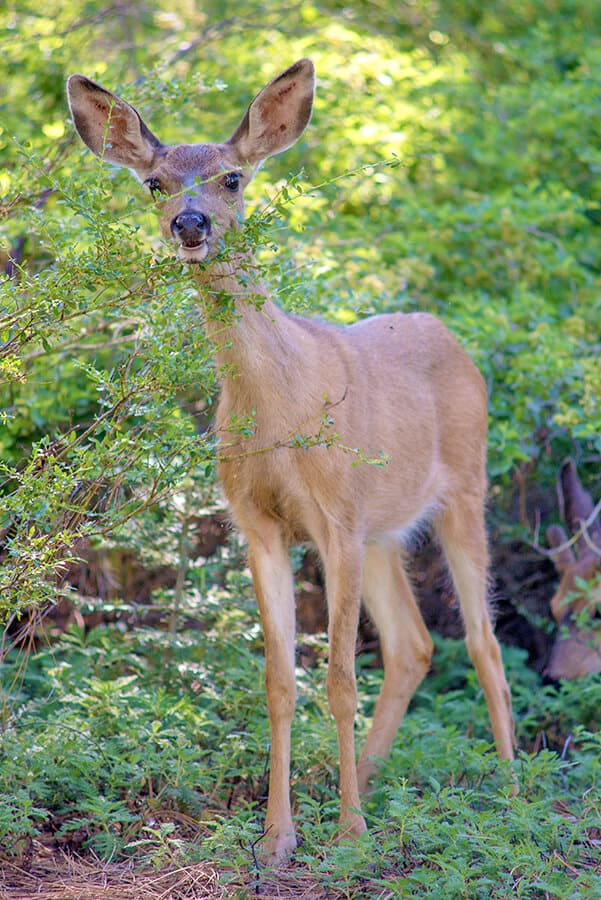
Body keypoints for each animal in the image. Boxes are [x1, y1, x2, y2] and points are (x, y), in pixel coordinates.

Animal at [67, 59, 516, 860]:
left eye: (232, 177)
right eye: (154, 184)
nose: (190, 225)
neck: (279, 407)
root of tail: (450, 335)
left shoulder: (334, 519)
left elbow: (338, 677)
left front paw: (349, 832)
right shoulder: (263, 524)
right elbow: (280, 679)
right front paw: (279, 835)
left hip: (464, 491)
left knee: (482, 642)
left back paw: (514, 794)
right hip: (382, 531)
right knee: (414, 645)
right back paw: (365, 777)